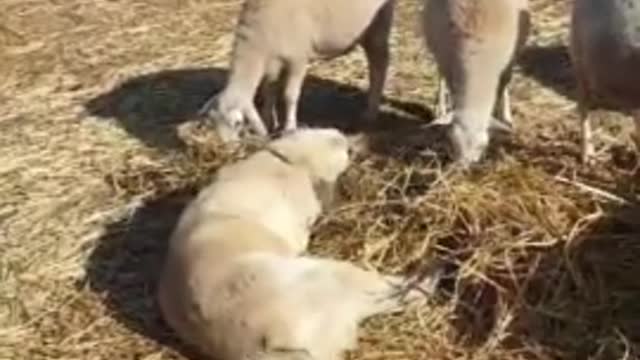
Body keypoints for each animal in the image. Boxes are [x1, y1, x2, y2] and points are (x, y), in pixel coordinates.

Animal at [158, 129, 442, 360]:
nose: (363, 139)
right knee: (388, 290)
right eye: (344, 146)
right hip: (317, 280)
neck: (291, 160)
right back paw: (433, 271)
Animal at [201, 0, 396, 143]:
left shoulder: (298, 58)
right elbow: (269, 92)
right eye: (212, 123)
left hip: (378, 24)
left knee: (379, 64)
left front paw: (289, 129)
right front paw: (268, 121)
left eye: (237, 123)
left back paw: (370, 113)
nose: (227, 147)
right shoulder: (272, 62)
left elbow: (290, 95)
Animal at [422, 0, 532, 166]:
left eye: (482, 146)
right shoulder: (446, 59)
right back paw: (440, 108)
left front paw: (505, 116)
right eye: (452, 141)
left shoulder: (510, 59)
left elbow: (505, 82)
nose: (463, 167)